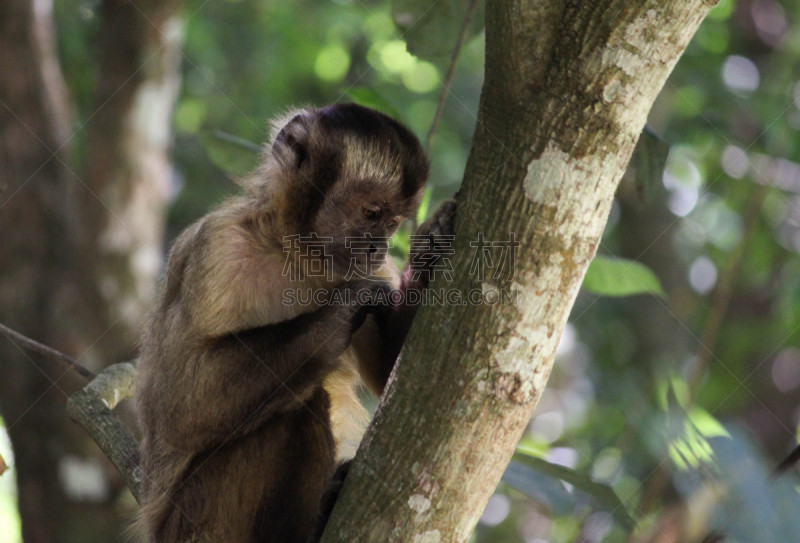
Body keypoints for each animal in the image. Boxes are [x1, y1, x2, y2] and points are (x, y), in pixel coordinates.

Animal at [134, 103, 454, 543]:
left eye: (393, 223)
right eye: (370, 212)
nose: (378, 245)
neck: (294, 252)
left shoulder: (375, 268)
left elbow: (406, 380)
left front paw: (429, 254)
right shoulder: (216, 247)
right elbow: (180, 406)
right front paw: (345, 306)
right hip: (196, 528)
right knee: (292, 409)